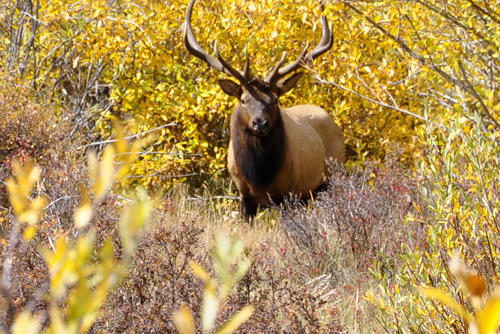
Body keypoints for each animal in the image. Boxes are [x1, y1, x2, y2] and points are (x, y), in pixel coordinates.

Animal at [184, 0, 344, 224]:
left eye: (275, 99)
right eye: (243, 99)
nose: (260, 123)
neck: (259, 177)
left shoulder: (288, 194)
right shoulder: (244, 195)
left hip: (330, 178)